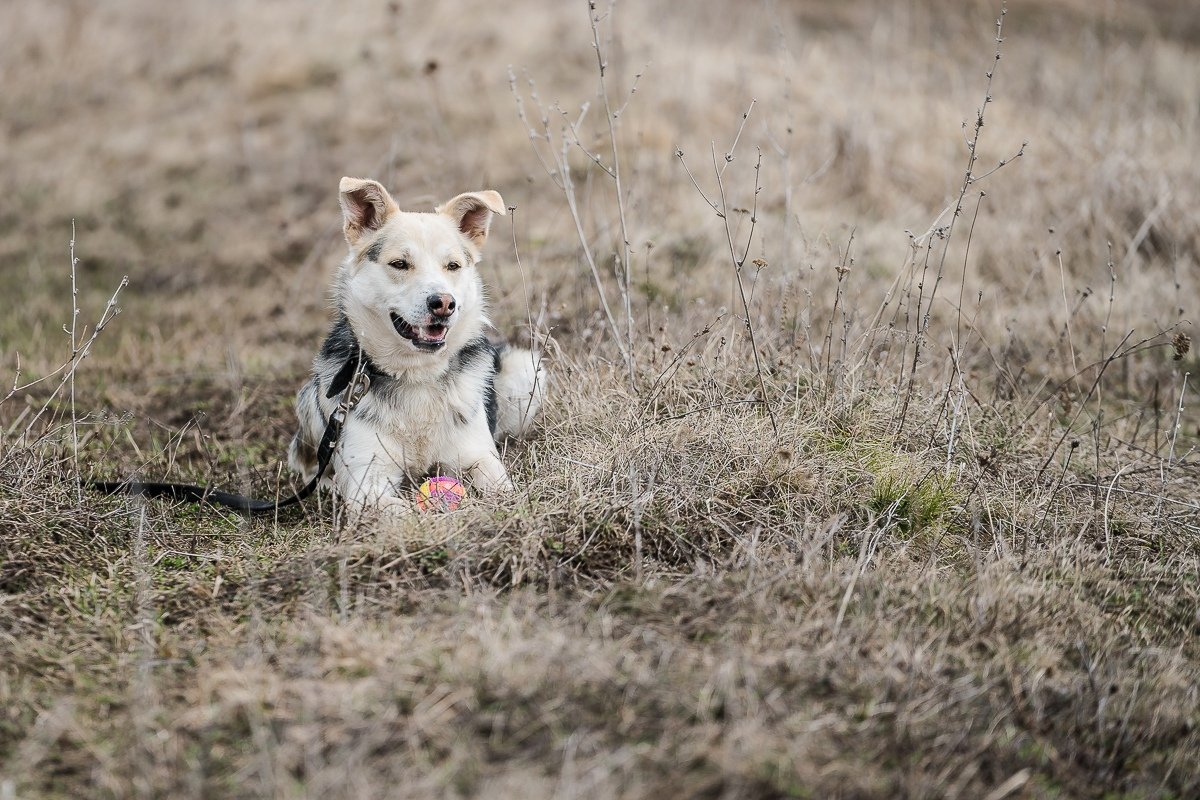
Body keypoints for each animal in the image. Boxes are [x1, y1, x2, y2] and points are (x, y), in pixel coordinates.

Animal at [288, 176, 542, 515]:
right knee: (306, 464)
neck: (417, 374)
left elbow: (500, 488)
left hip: (525, 370)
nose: (444, 303)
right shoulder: (366, 481)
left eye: (453, 266)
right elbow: (403, 511)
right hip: (310, 399)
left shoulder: (478, 456)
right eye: (399, 264)